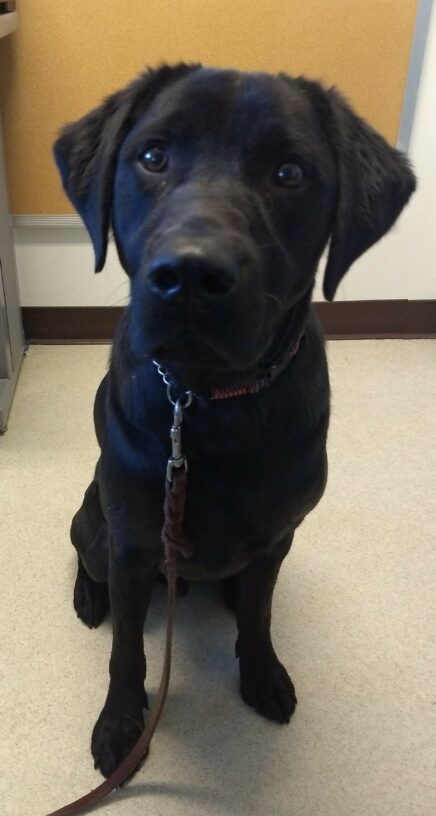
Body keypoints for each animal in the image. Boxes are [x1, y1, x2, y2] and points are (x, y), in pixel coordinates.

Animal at [54, 63, 416, 776]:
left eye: (289, 173)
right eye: (153, 156)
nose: (190, 274)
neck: (205, 400)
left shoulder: (277, 535)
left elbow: (259, 614)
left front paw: (262, 675)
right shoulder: (133, 541)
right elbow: (127, 650)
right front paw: (121, 726)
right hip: (98, 525)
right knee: (87, 558)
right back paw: (89, 598)